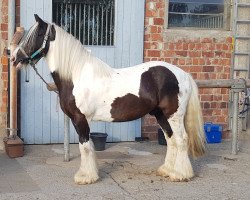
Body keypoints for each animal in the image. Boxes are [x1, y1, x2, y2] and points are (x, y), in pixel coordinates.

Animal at [11, 14, 205, 185]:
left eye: (36, 35)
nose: (14, 58)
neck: (77, 76)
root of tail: (183, 74)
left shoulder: (81, 119)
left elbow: (84, 146)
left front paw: (85, 177)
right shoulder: (78, 120)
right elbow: (87, 146)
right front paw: (89, 174)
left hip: (174, 115)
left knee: (182, 140)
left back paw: (180, 174)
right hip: (161, 115)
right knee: (171, 139)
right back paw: (167, 170)